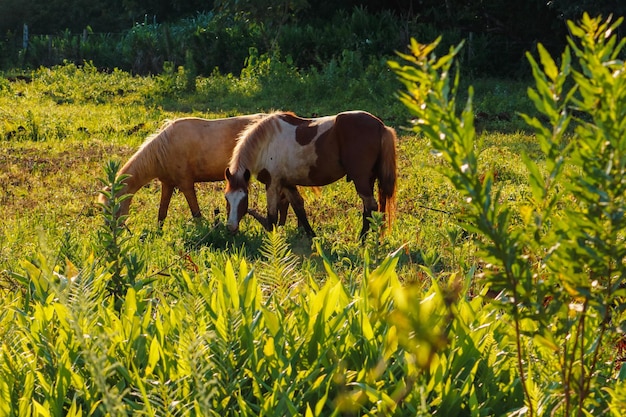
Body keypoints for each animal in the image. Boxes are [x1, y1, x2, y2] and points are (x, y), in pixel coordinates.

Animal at [98, 115, 298, 226]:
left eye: (115, 208)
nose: (111, 230)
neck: (164, 148)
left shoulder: (186, 184)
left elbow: (196, 214)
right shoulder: (167, 184)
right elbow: (162, 213)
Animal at [225, 109, 394, 239]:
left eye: (243, 199)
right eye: (227, 198)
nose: (231, 227)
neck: (266, 143)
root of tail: (380, 126)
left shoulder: (272, 183)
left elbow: (272, 216)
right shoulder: (287, 183)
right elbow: (299, 207)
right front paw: (311, 236)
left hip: (361, 179)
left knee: (370, 205)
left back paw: (362, 240)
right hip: (370, 179)